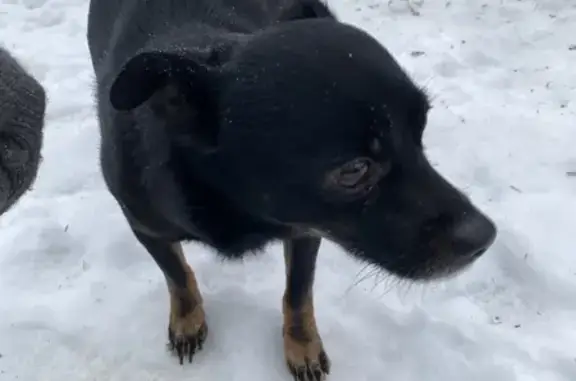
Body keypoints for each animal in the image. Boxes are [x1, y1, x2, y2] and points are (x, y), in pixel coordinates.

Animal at [85, 0, 496, 378]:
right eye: (354, 170)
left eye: (421, 131)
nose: (486, 237)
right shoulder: (146, 227)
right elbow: (178, 275)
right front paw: (188, 320)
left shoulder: (305, 230)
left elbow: (298, 292)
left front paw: (302, 346)